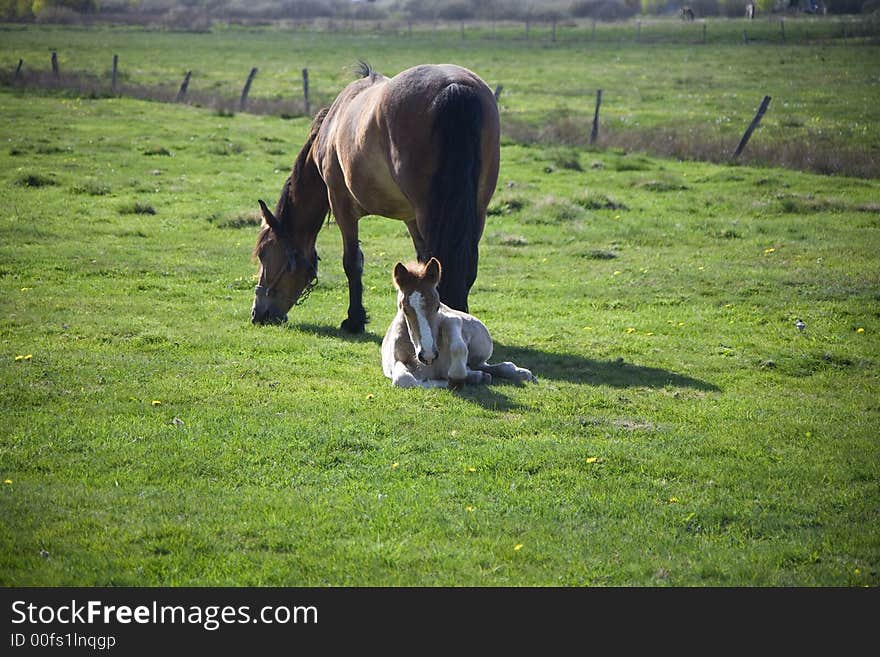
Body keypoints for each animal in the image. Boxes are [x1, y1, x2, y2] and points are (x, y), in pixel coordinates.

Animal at [254, 62, 502, 334]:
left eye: (263, 254)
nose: (258, 314)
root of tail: (452, 86)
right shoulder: (410, 218)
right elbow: (424, 262)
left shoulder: (342, 206)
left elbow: (352, 262)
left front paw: (354, 319)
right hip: (476, 211)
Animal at [384, 256, 540, 386]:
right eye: (404, 310)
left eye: (437, 306)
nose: (428, 355)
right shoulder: (396, 362)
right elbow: (405, 380)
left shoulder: (451, 320)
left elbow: (456, 341)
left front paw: (456, 377)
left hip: (481, 346)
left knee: (488, 364)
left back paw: (521, 373)